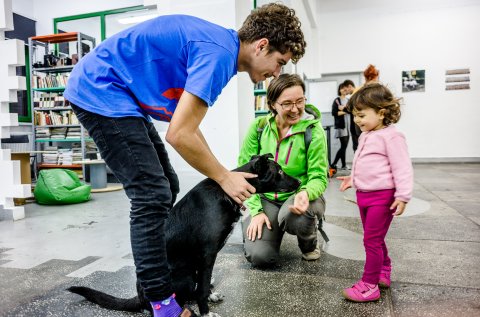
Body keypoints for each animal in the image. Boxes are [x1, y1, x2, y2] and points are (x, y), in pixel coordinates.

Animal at [67, 152, 300, 314]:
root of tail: (139, 297)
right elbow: (203, 287)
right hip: (182, 277)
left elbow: (204, 284)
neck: (226, 191)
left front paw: (210, 297)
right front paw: (206, 312)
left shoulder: (203, 259)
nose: (299, 182)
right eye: (279, 171)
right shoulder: (207, 254)